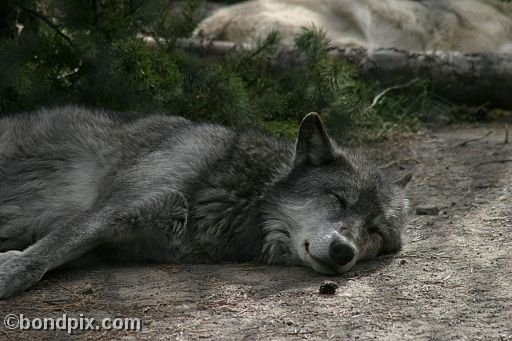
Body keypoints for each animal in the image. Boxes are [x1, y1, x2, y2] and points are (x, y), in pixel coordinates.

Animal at [0, 106, 410, 298]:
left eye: (375, 232)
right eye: (338, 199)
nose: (344, 252)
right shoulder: (108, 213)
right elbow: (37, 260)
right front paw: (8, 274)